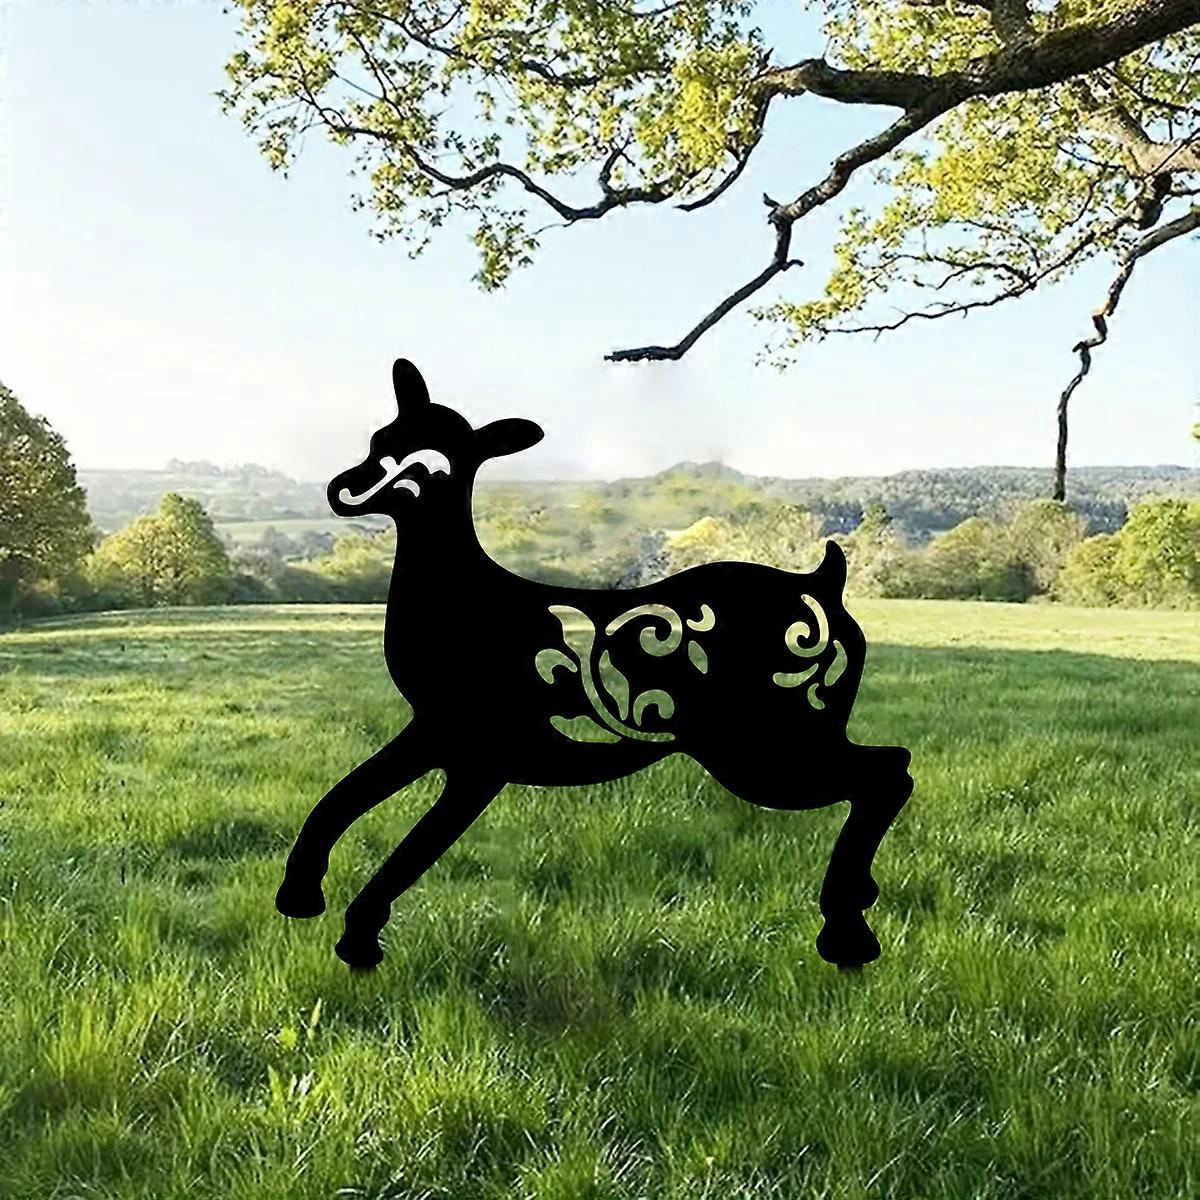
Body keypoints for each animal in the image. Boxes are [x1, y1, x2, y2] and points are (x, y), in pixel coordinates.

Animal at [276, 359, 913, 973]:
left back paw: (848, 935)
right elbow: (343, 797)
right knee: (892, 767)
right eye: (379, 436)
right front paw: (299, 896)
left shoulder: (482, 758)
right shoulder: (434, 731)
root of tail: (824, 587)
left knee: (887, 772)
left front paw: (359, 939)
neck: (463, 600)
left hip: (768, 749)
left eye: (432, 467)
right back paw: (857, 905)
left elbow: (412, 849)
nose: (343, 489)